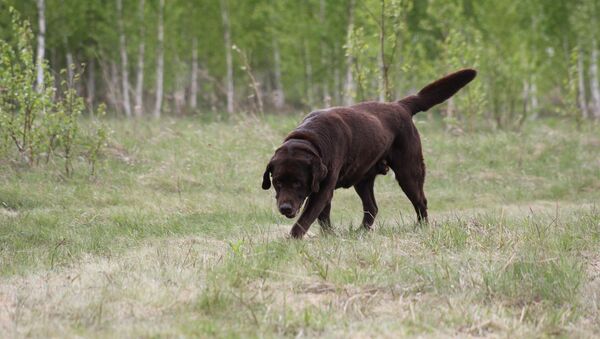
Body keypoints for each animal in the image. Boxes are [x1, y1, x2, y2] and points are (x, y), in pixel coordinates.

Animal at [262, 69, 478, 239]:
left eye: (298, 183)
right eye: (277, 182)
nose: (285, 208)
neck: (310, 138)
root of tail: (399, 105)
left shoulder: (322, 189)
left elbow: (307, 217)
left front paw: (292, 239)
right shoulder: (323, 188)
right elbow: (323, 215)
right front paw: (328, 235)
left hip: (408, 172)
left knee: (420, 201)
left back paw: (421, 228)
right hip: (363, 178)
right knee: (372, 207)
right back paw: (361, 232)